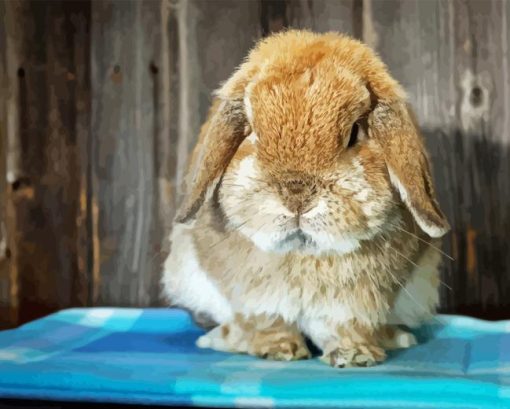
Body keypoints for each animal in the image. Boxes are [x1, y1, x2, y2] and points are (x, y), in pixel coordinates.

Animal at [161, 28, 448, 366]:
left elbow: (347, 326)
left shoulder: (353, 304)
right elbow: (265, 321)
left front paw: (355, 355)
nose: (296, 195)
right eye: (252, 132)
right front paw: (278, 350)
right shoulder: (254, 298)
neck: (303, 253)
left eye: (354, 132)